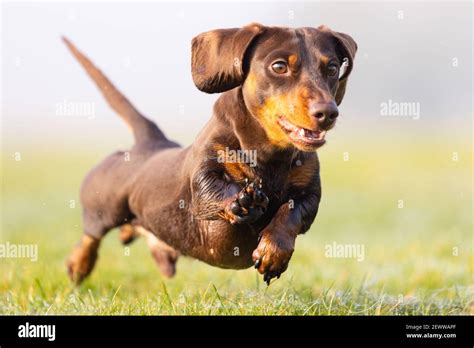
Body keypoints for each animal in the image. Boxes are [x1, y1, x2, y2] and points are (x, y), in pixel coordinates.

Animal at [64, 22, 356, 286]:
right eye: (279, 66)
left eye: (332, 68)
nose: (327, 113)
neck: (270, 154)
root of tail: (152, 143)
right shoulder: (206, 173)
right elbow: (211, 189)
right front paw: (241, 202)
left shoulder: (309, 193)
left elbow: (292, 211)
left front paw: (273, 253)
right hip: (105, 206)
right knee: (91, 234)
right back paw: (79, 265)